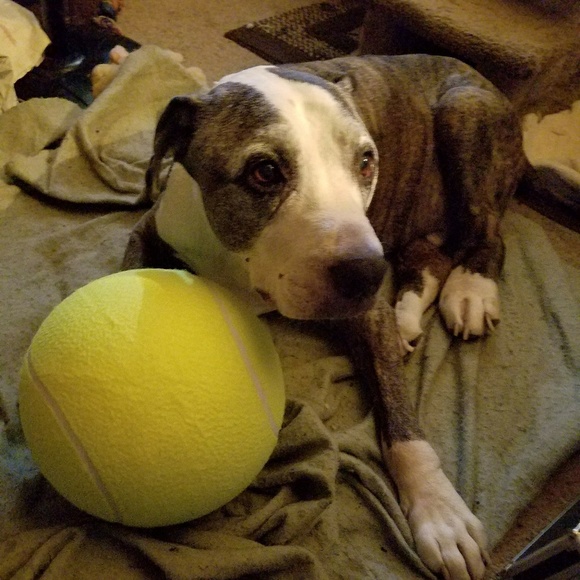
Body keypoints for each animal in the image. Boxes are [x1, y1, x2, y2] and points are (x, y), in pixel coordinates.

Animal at [122, 54, 527, 579]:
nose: (368, 271)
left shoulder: (368, 313)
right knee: (431, 257)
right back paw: (409, 317)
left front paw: (442, 514)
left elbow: (403, 426)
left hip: (463, 113)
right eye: (264, 171)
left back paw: (471, 290)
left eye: (366, 161)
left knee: (488, 233)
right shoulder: (147, 233)